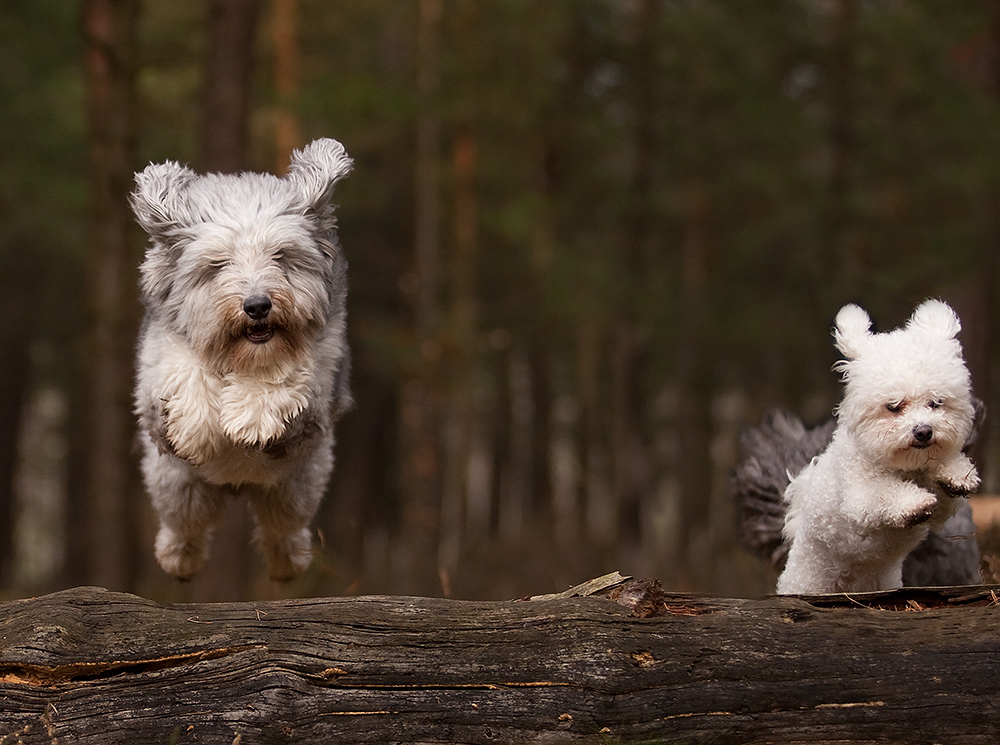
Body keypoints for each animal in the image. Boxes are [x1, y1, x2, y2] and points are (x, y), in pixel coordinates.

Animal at [776, 298, 980, 592]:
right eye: (893, 407)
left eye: (936, 402)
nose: (924, 431)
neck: (904, 466)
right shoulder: (859, 497)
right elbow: (884, 492)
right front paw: (914, 503)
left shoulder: (941, 509)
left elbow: (945, 494)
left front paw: (956, 474)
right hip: (808, 581)